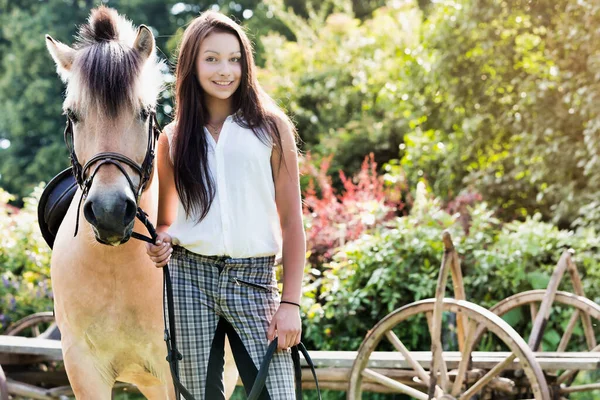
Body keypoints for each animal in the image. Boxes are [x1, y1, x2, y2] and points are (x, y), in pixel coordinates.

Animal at [45, 7, 237, 400]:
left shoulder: (175, 371)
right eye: (73, 116)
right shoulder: (83, 369)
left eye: (144, 112)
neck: (116, 270)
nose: (110, 212)